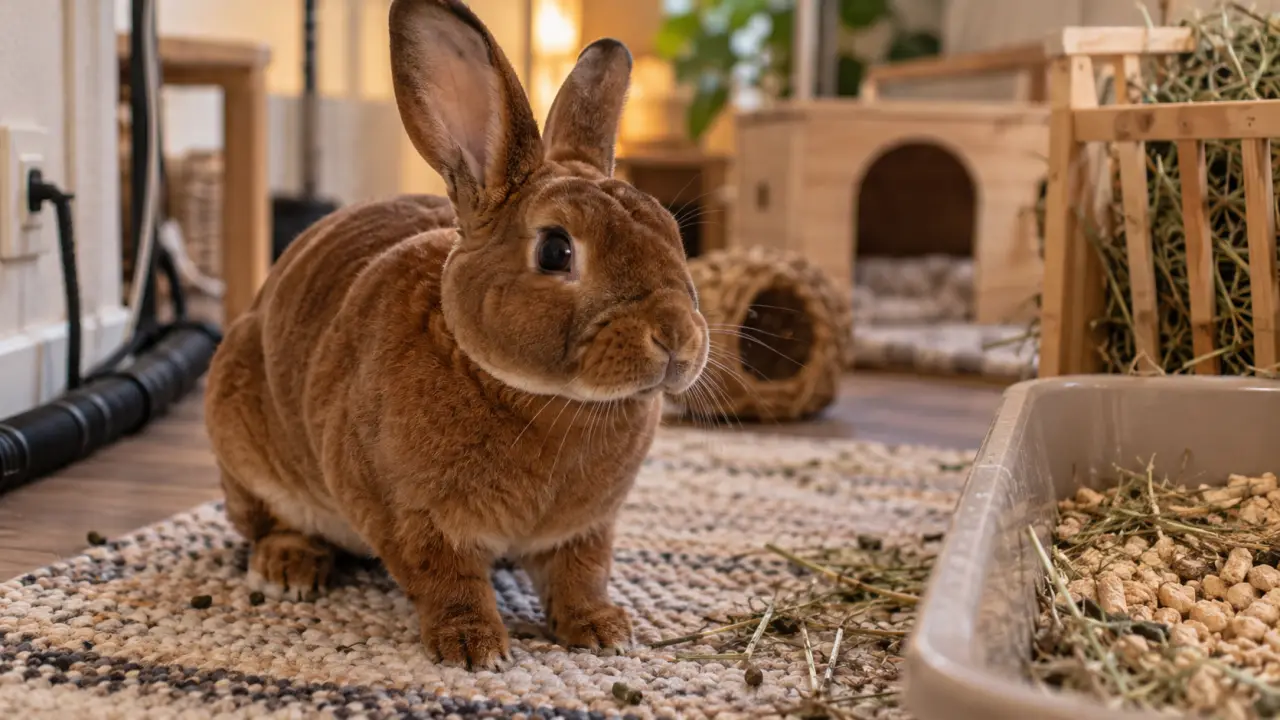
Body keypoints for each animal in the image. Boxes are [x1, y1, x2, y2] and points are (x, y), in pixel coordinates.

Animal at [203, 0, 709, 671]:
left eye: (673, 236)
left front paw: (603, 631)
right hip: (245, 448)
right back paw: (289, 570)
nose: (676, 337)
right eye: (555, 250)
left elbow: (581, 574)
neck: (544, 401)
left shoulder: (586, 528)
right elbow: (445, 577)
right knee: (268, 522)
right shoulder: (410, 514)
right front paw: (473, 647)